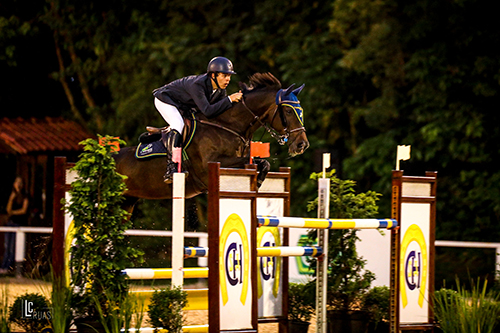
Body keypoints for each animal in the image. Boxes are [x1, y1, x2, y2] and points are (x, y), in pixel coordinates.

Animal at [114, 73, 308, 211]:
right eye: (289, 112)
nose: (302, 145)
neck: (227, 125)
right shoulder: (212, 163)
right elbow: (255, 161)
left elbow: (262, 162)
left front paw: (258, 183)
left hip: (127, 203)